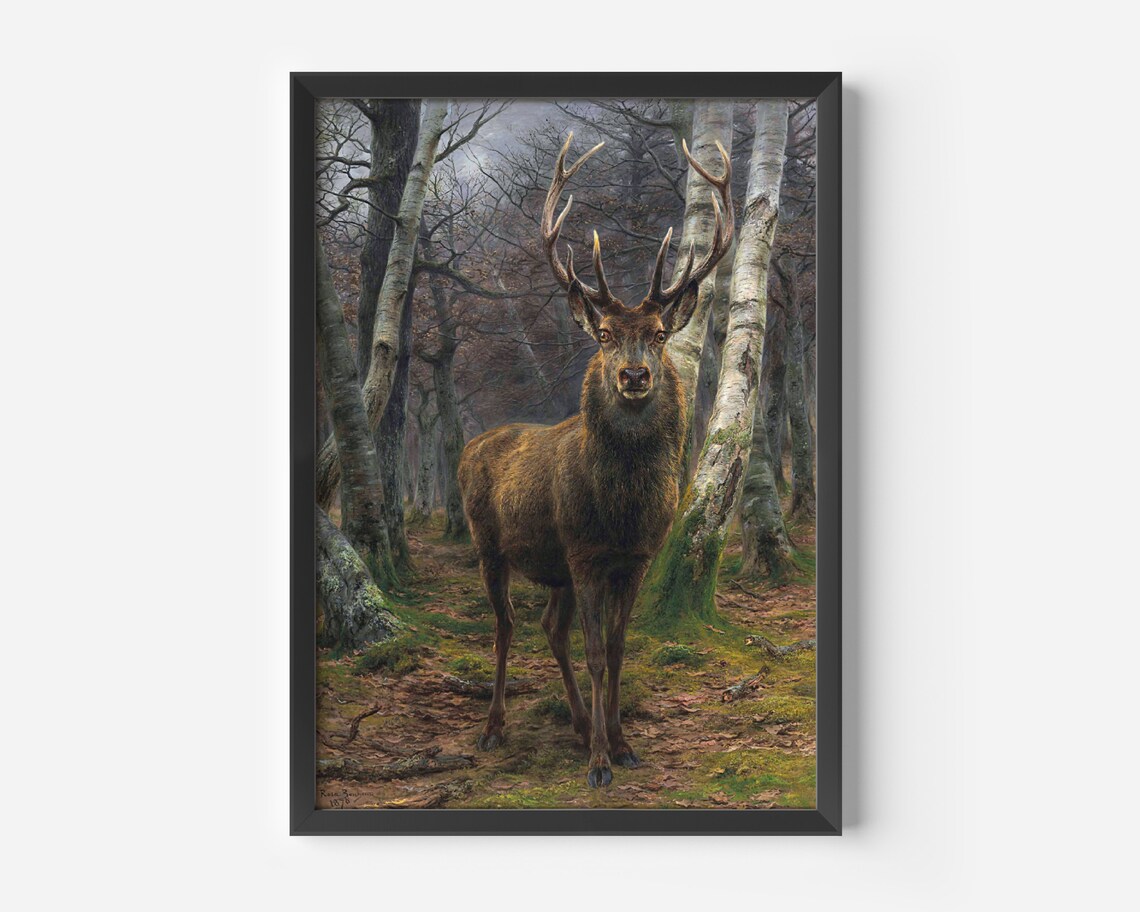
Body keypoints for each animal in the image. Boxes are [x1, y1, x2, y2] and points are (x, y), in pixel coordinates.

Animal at [457, 132, 733, 787]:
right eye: (605, 334)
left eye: (658, 333)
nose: (633, 375)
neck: (622, 512)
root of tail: (473, 445)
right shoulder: (584, 553)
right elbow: (593, 651)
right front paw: (601, 764)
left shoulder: (632, 558)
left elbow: (616, 648)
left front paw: (622, 743)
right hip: (489, 543)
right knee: (506, 627)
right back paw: (494, 728)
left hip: (552, 563)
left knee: (547, 629)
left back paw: (582, 725)